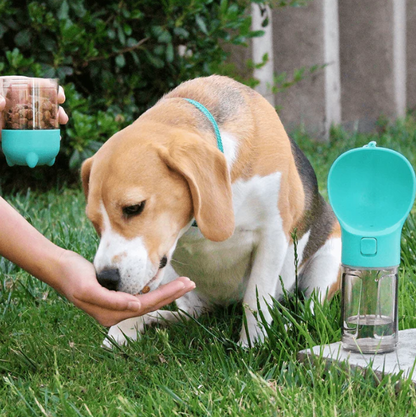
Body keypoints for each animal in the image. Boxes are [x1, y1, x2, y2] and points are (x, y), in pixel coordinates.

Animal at [80, 75, 342, 348]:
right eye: (94, 222)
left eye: (134, 207)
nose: (105, 280)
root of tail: (224, 304)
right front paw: (121, 332)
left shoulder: (273, 235)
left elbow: (255, 300)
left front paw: (251, 346)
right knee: (192, 314)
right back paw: (156, 319)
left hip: (329, 261)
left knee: (312, 313)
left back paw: (291, 329)